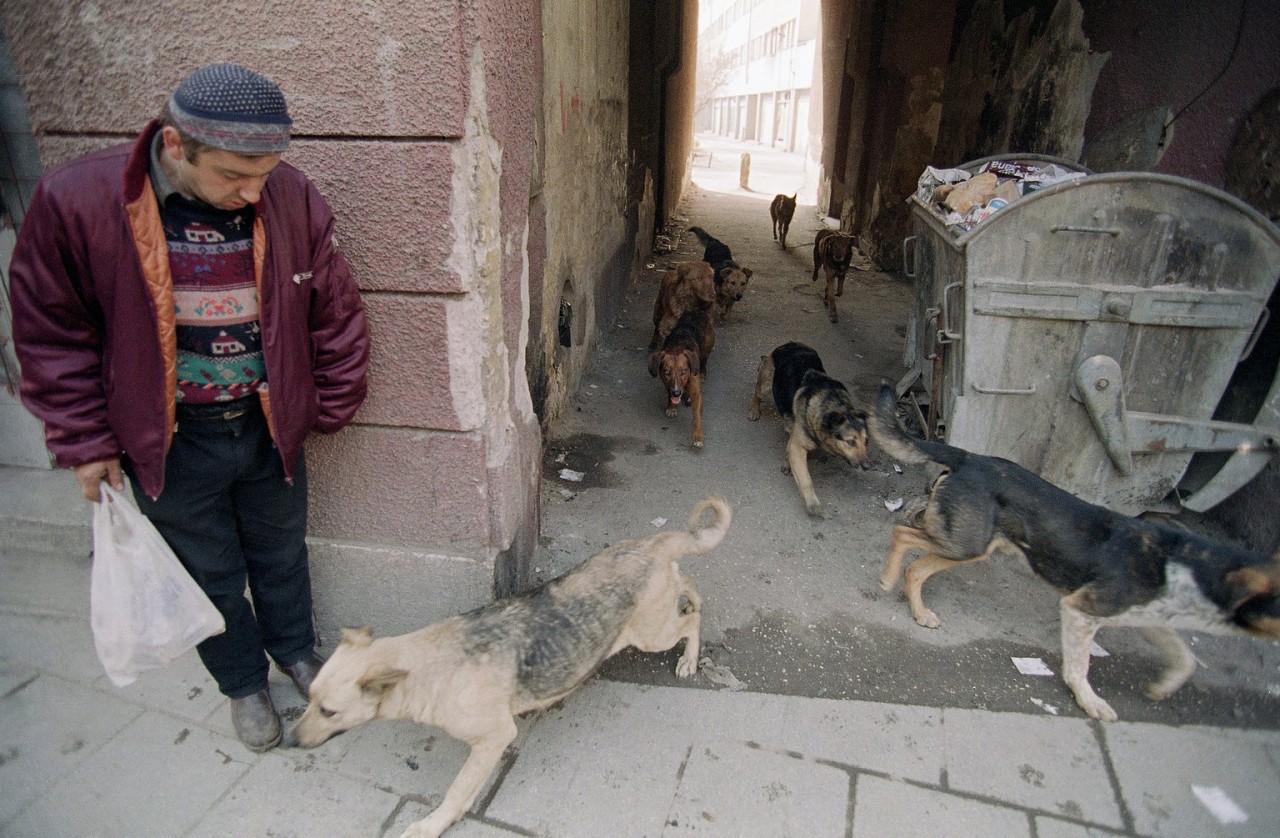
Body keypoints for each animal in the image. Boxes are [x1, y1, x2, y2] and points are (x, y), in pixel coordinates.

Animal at [286, 498, 737, 838]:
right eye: (309, 698)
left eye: (329, 711)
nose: (288, 742)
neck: (429, 665)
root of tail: (650, 545)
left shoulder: (493, 739)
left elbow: (456, 794)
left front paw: (432, 825)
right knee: (688, 584)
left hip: (650, 633)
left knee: (691, 616)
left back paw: (689, 656)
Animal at [645, 308, 716, 450]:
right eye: (667, 371)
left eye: (684, 371)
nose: (677, 393)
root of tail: (697, 311)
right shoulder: (668, 385)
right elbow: (669, 394)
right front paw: (671, 406)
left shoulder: (697, 393)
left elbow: (697, 417)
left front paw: (697, 437)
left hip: (709, 345)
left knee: (704, 361)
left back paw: (702, 373)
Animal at [747, 342, 870, 516]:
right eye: (851, 442)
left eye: (866, 442)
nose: (867, 467)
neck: (835, 405)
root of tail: (788, 344)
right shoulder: (798, 446)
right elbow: (806, 479)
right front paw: (812, 502)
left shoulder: (797, 441)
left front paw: (788, 463)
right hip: (766, 383)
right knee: (757, 393)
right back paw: (754, 409)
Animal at [865, 386, 1280, 721]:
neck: (1195, 569)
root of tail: (971, 456)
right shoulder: (1082, 610)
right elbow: (1079, 666)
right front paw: (1089, 700)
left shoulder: (1148, 616)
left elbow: (1186, 659)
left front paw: (1163, 688)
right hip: (965, 543)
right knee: (903, 535)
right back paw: (888, 580)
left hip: (971, 546)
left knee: (916, 562)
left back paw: (917, 608)